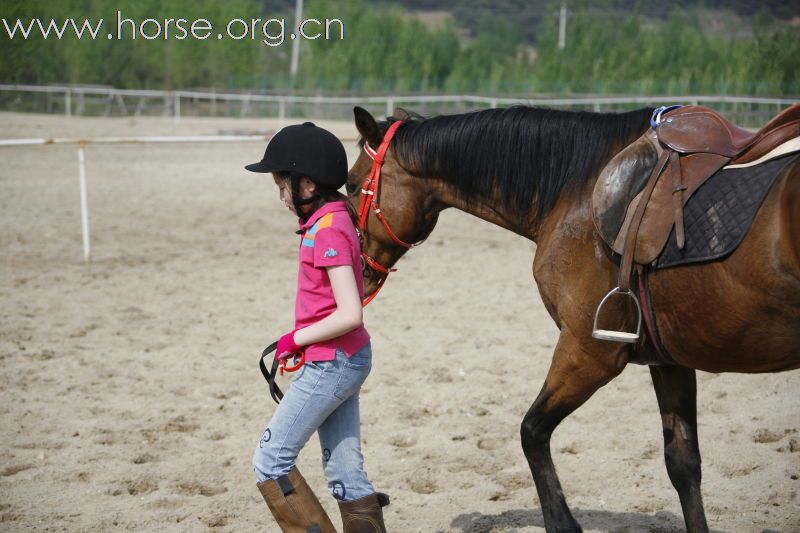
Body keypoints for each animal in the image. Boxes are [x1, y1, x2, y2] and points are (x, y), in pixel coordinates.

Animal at [348, 105, 800, 532]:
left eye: (351, 185)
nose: (360, 273)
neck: (578, 192)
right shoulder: (668, 360)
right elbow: (683, 464)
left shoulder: (590, 350)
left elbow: (532, 432)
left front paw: (562, 521)